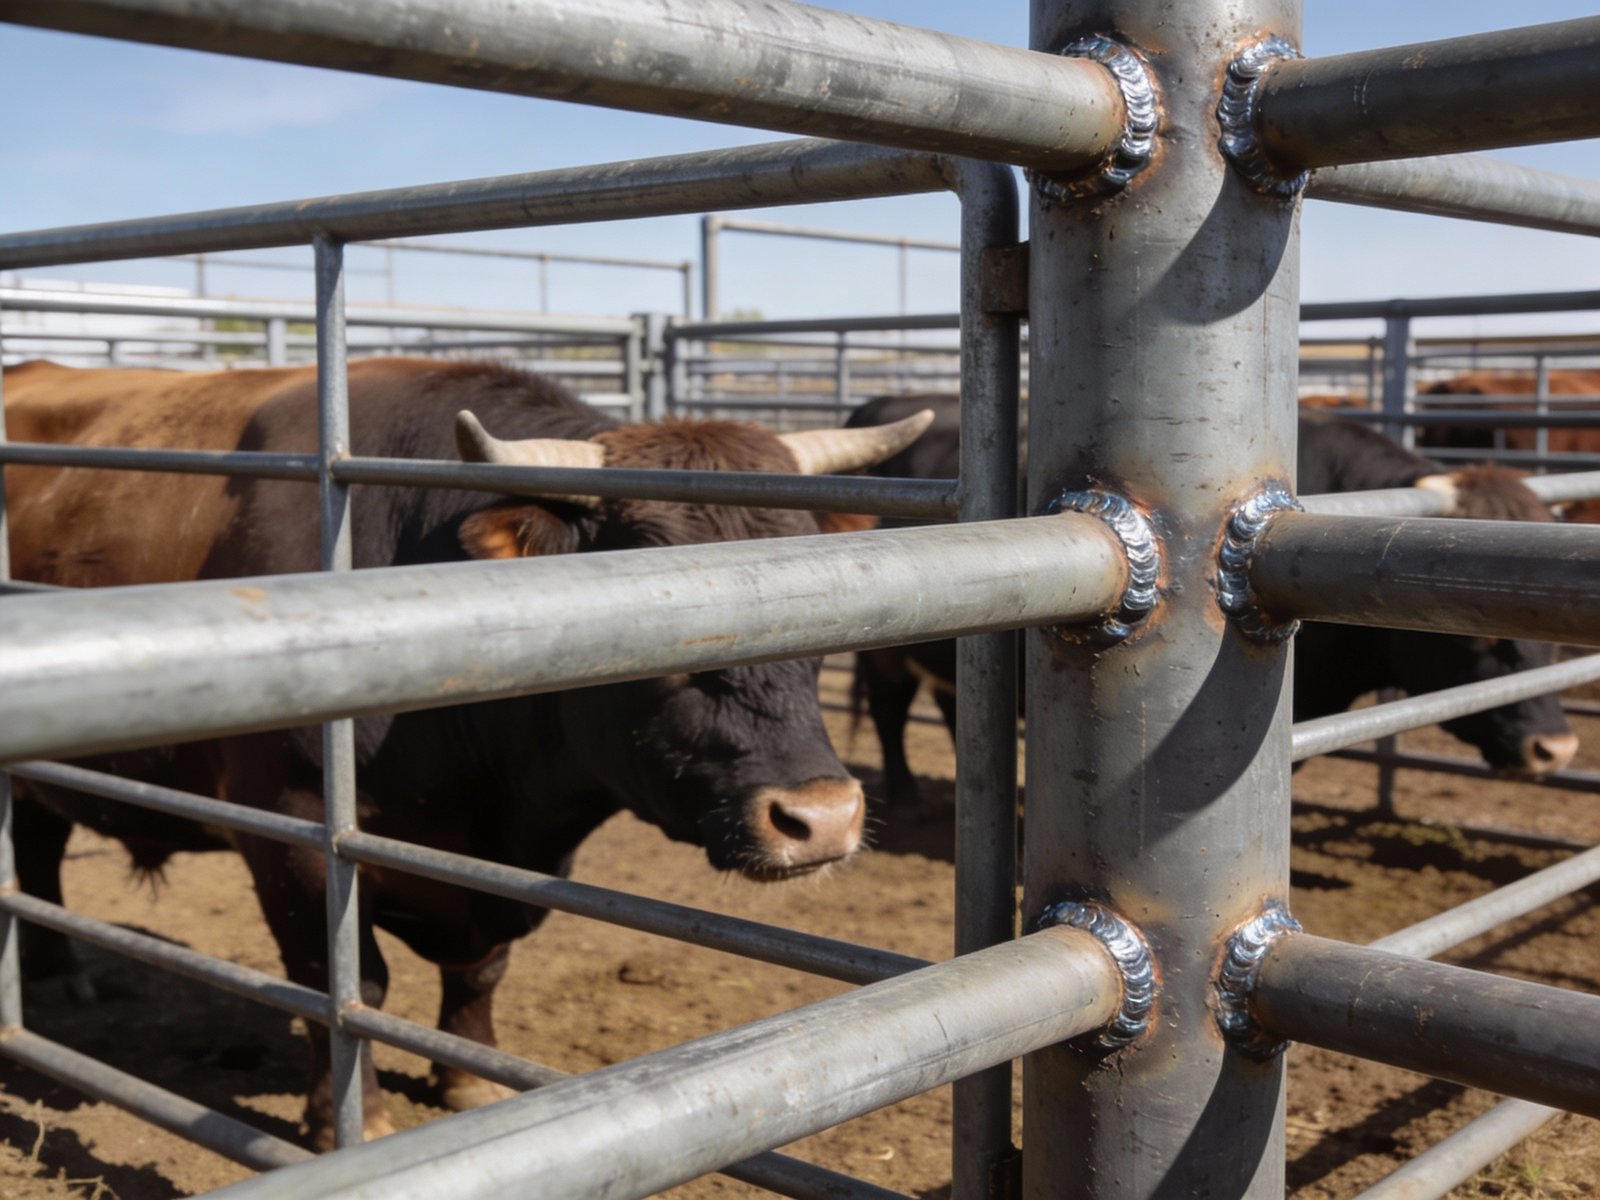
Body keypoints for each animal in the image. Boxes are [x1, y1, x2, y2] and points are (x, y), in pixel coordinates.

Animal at [1, 357, 933, 1148]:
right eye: (661, 621)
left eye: (832, 602)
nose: (821, 818)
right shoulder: (289, 826)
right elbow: (343, 977)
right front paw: (348, 1117)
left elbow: (482, 970)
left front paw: (468, 1079)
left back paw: (57, 967)